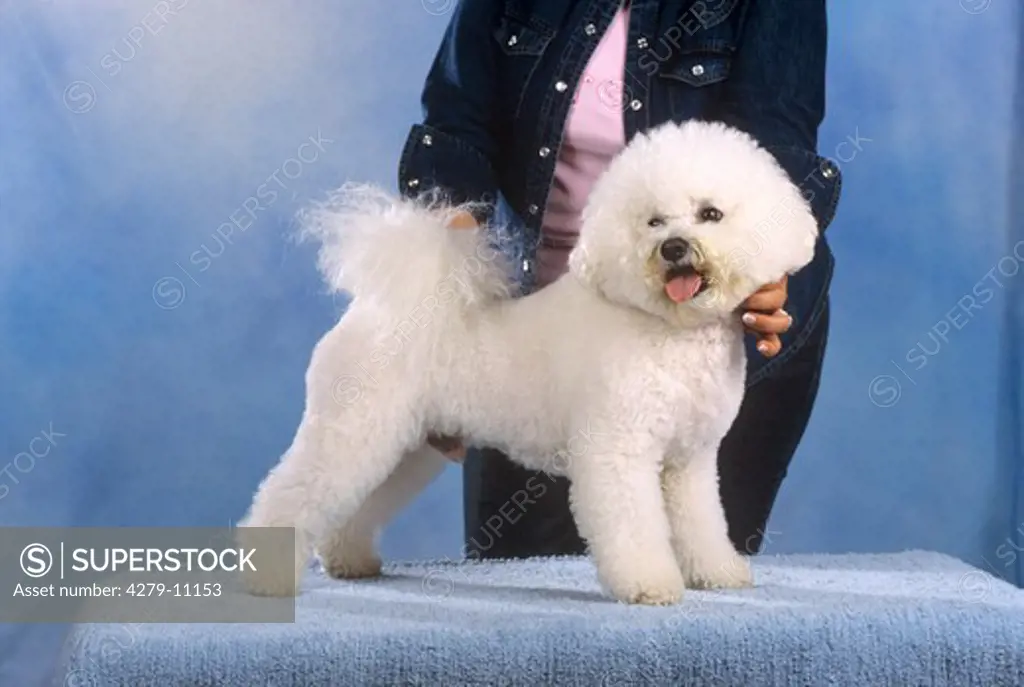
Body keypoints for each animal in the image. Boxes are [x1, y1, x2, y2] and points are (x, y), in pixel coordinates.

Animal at [237, 120, 815, 606]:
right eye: (652, 221)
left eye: (710, 214)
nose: (672, 248)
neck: (667, 329)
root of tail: (381, 308)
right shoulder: (618, 451)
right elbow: (633, 527)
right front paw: (649, 585)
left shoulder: (688, 462)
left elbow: (702, 524)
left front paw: (718, 573)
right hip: (353, 428)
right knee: (293, 495)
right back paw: (264, 576)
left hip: (405, 442)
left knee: (355, 506)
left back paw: (350, 560)